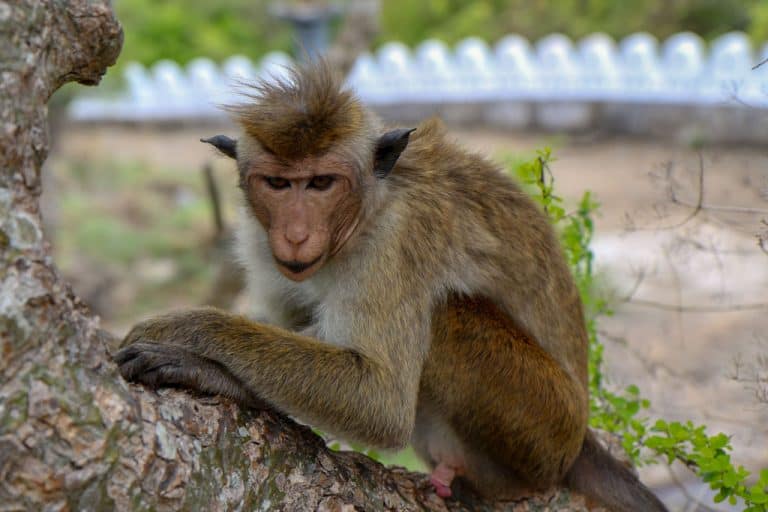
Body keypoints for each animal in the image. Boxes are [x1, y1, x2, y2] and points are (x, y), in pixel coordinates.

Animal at [115, 61, 668, 511]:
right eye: (278, 184)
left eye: (321, 183)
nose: (295, 234)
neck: (366, 211)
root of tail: (580, 443)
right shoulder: (257, 237)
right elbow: (286, 320)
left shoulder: (397, 243)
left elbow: (379, 399)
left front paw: (192, 340)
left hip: (547, 428)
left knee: (446, 316)